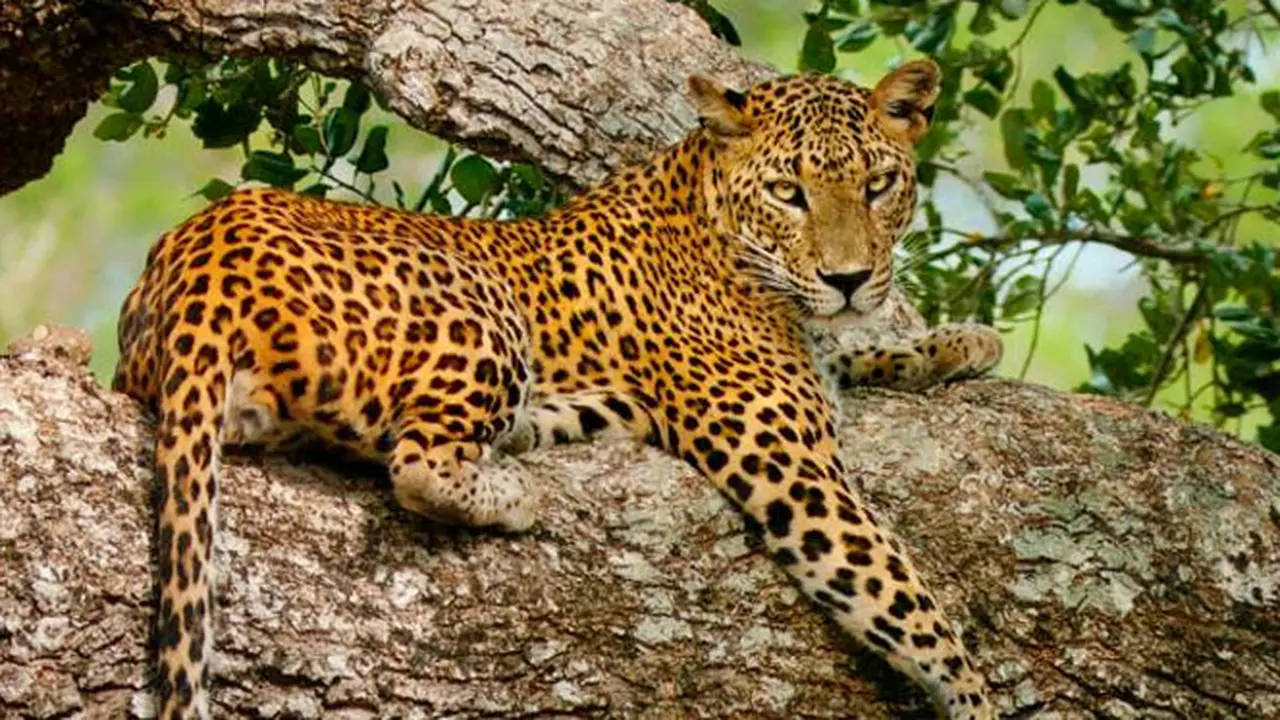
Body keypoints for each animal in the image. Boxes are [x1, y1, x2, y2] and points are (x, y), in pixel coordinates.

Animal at [113, 59, 1003, 719]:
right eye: (790, 193)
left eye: (879, 185)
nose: (849, 277)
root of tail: (196, 260)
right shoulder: (795, 471)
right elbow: (909, 603)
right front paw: (976, 698)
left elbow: (858, 351)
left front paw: (957, 342)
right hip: (481, 307)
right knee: (417, 462)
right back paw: (516, 488)